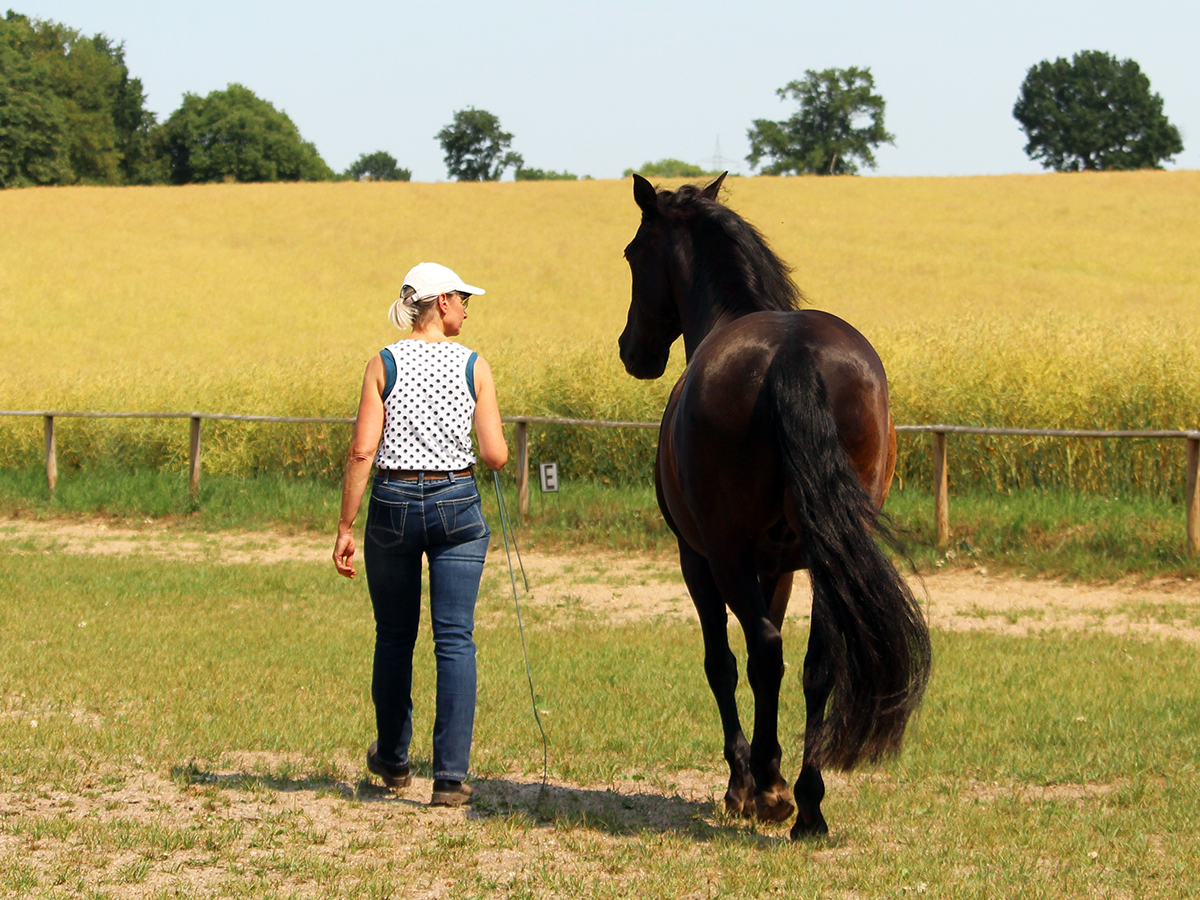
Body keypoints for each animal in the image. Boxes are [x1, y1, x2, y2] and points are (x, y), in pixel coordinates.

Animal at [618, 173, 932, 838]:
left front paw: (745, 780)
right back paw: (808, 803)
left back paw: (765, 789)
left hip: (726, 554)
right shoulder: (782, 565)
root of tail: (793, 352)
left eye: (632, 254)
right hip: (825, 552)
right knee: (820, 660)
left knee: (761, 652)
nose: (633, 351)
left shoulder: (698, 559)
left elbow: (722, 661)